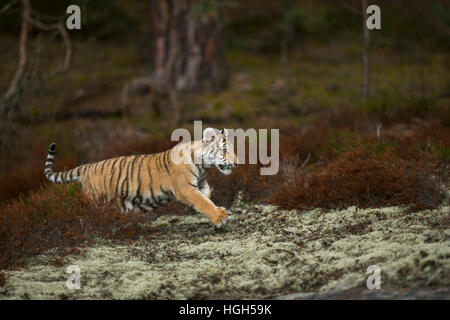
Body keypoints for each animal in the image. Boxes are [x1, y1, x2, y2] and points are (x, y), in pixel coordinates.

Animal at [44, 127, 239, 228]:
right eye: (224, 150)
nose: (237, 163)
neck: (204, 166)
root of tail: (87, 166)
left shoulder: (201, 185)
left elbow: (207, 198)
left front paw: (218, 210)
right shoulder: (186, 189)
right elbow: (204, 203)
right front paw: (220, 217)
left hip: (123, 203)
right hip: (96, 201)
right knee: (87, 216)